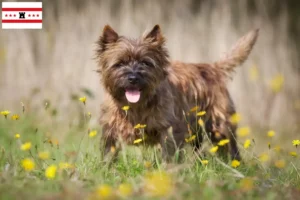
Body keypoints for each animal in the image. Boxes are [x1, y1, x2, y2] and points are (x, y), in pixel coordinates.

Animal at [95, 25, 258, 162]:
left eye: (145, 63)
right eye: (120, 63)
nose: (133, 78)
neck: (136, 106)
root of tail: (213, 68)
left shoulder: (168, 130)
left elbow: (168, 154)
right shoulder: (111, 130)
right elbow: (108, 153)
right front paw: (106, 169)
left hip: (219, 124)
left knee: (230, 146)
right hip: (195, 130)